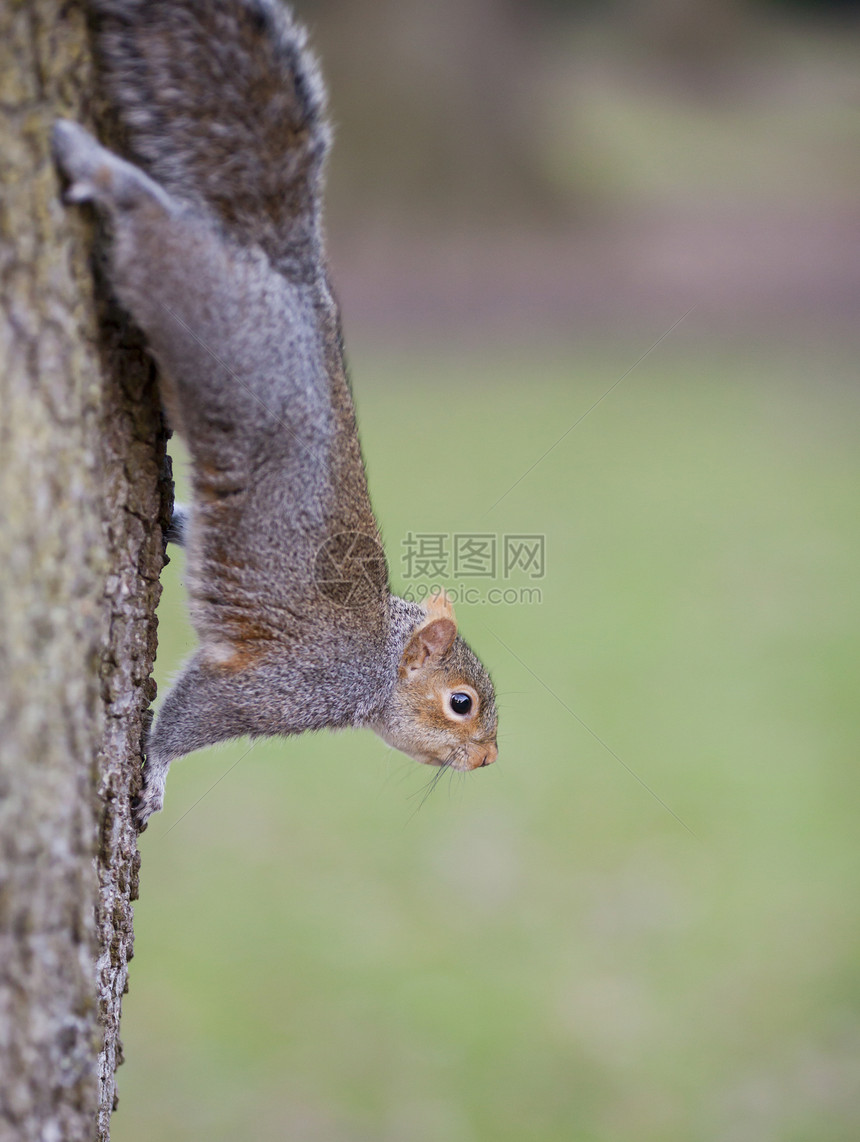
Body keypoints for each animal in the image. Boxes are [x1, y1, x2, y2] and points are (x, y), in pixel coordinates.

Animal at [53, 0, 495, 831]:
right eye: (462, 703)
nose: (487, 761)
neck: (376, 667)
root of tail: (292, 280)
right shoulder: (281, 685)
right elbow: (193, 715)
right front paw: (152, 777)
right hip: (205, 314)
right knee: (157, 232)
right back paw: (94, 163)